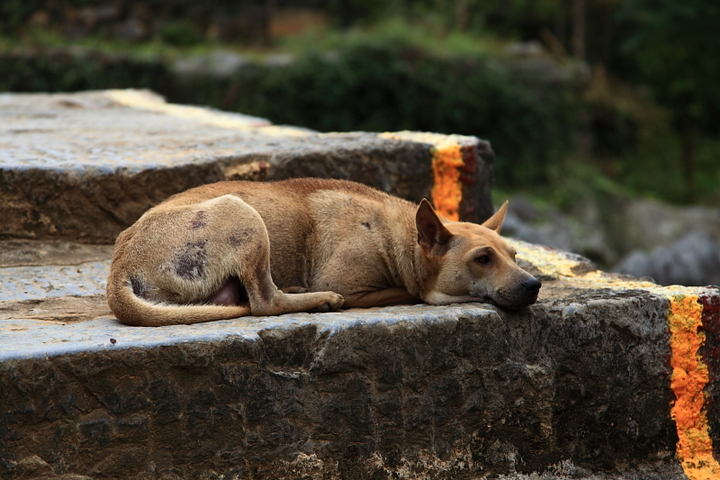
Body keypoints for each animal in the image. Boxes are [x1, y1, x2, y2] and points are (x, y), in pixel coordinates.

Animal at [107, 178, 540, 328]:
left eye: (515, 255)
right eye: (482, 259)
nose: (534, 284)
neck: (398, 234)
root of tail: (118, 269)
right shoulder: (352, 283)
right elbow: (409, 292)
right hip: (242, 213)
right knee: (264, 302)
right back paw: (316, 299)